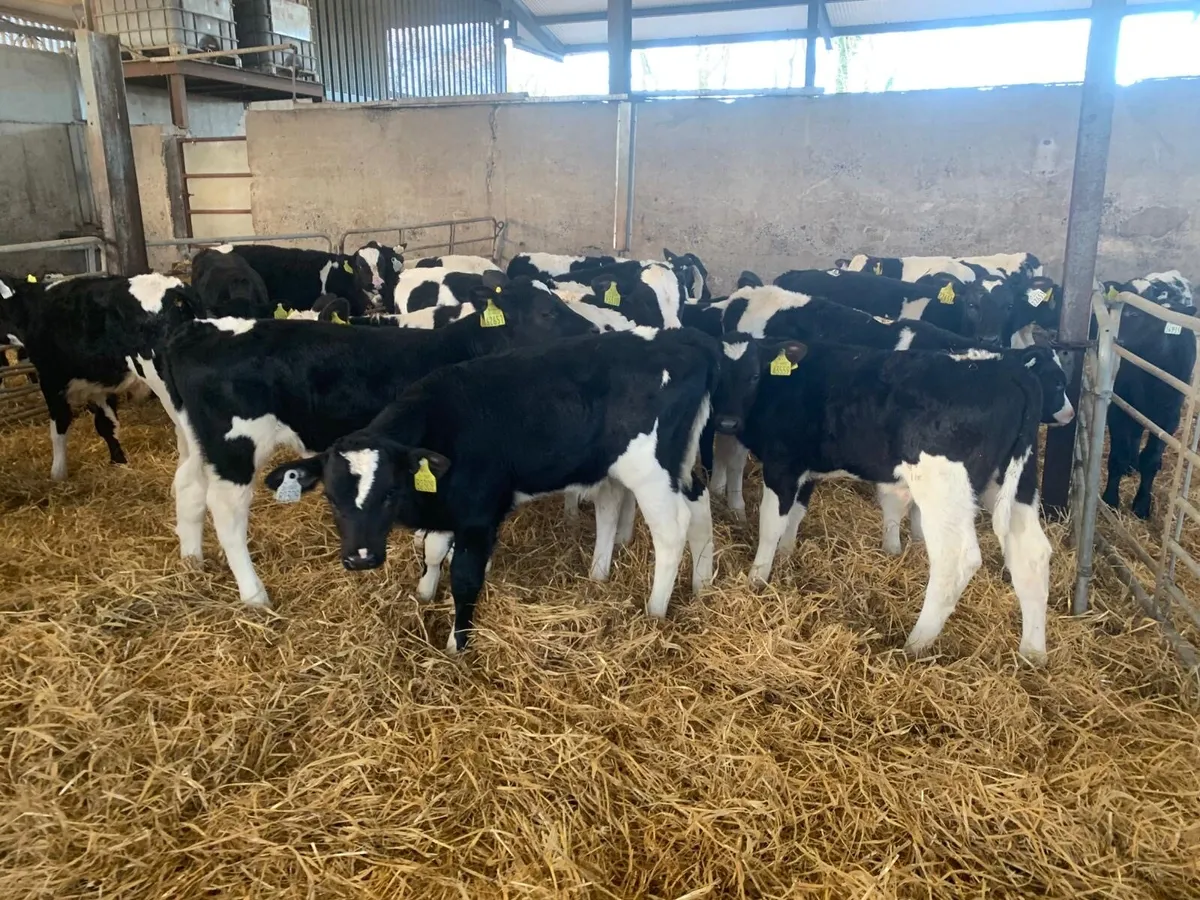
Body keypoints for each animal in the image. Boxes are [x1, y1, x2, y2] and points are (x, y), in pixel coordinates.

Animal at [0, 272, 200, 480]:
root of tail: (175, 290)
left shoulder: (51, 379)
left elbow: (59, 426)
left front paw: (57, 474)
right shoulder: (98, 387)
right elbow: (107, 424)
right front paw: (118, 461)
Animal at [159, 275, 596, 610]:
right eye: (547, 311)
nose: (595, 331)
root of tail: (199, 328)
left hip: (199, 443)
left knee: (188, 487)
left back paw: (191, 560)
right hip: (235, 447)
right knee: (226, 511)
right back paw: (254, 595)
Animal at [264, 327, 720, 652]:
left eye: (389, 492)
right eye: (330, 497)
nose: (360, 558)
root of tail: (684, 341)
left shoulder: (479, 516)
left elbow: (466, 579)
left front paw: (457, 644)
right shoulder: (451, 507)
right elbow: (433, 550)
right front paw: (425, 592)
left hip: (651, 469)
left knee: (672, 530)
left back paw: (655, 611)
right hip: (654, 463)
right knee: (687, 504)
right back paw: (686, 583)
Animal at [710, 336, 1071, 664]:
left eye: (754, 375)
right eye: (716, 376)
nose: (727, 421)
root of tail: (1006, 367)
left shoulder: (782, 464)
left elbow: (770, 522)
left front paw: (757, 578)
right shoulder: (807, 467)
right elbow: (795, 515)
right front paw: (785, 557)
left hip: (945, 487)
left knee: (956, 560)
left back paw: (915, 645)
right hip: (1016, 483)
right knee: (1031, 554)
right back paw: (1032, 653)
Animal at [1100, 294, 1197, 519]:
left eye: (1135, 315)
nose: (1121, 340)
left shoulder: (1169, 419)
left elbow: (1151, 460)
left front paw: (1142, 505)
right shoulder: (1118, 408)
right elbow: (1118, 455)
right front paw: (1110, 499)